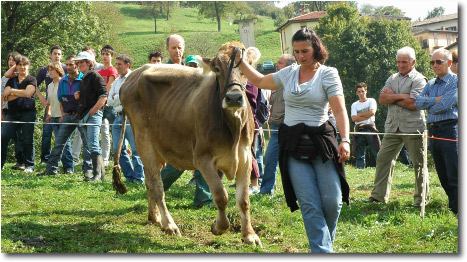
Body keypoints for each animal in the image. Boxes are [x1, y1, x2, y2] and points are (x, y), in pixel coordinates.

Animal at [111, 42, 262, 247]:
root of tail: (133, 75)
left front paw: (249, 235)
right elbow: (221, 195)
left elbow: (244, 200)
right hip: (143, 140)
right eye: (217, 69)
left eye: (247, 67)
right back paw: (169, 224)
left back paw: (154, 217)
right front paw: (218, 227)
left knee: (150, 182)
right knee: (156, 185)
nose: (233, 98)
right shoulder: (203, 159)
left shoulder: (245, 157)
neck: (232, 127)